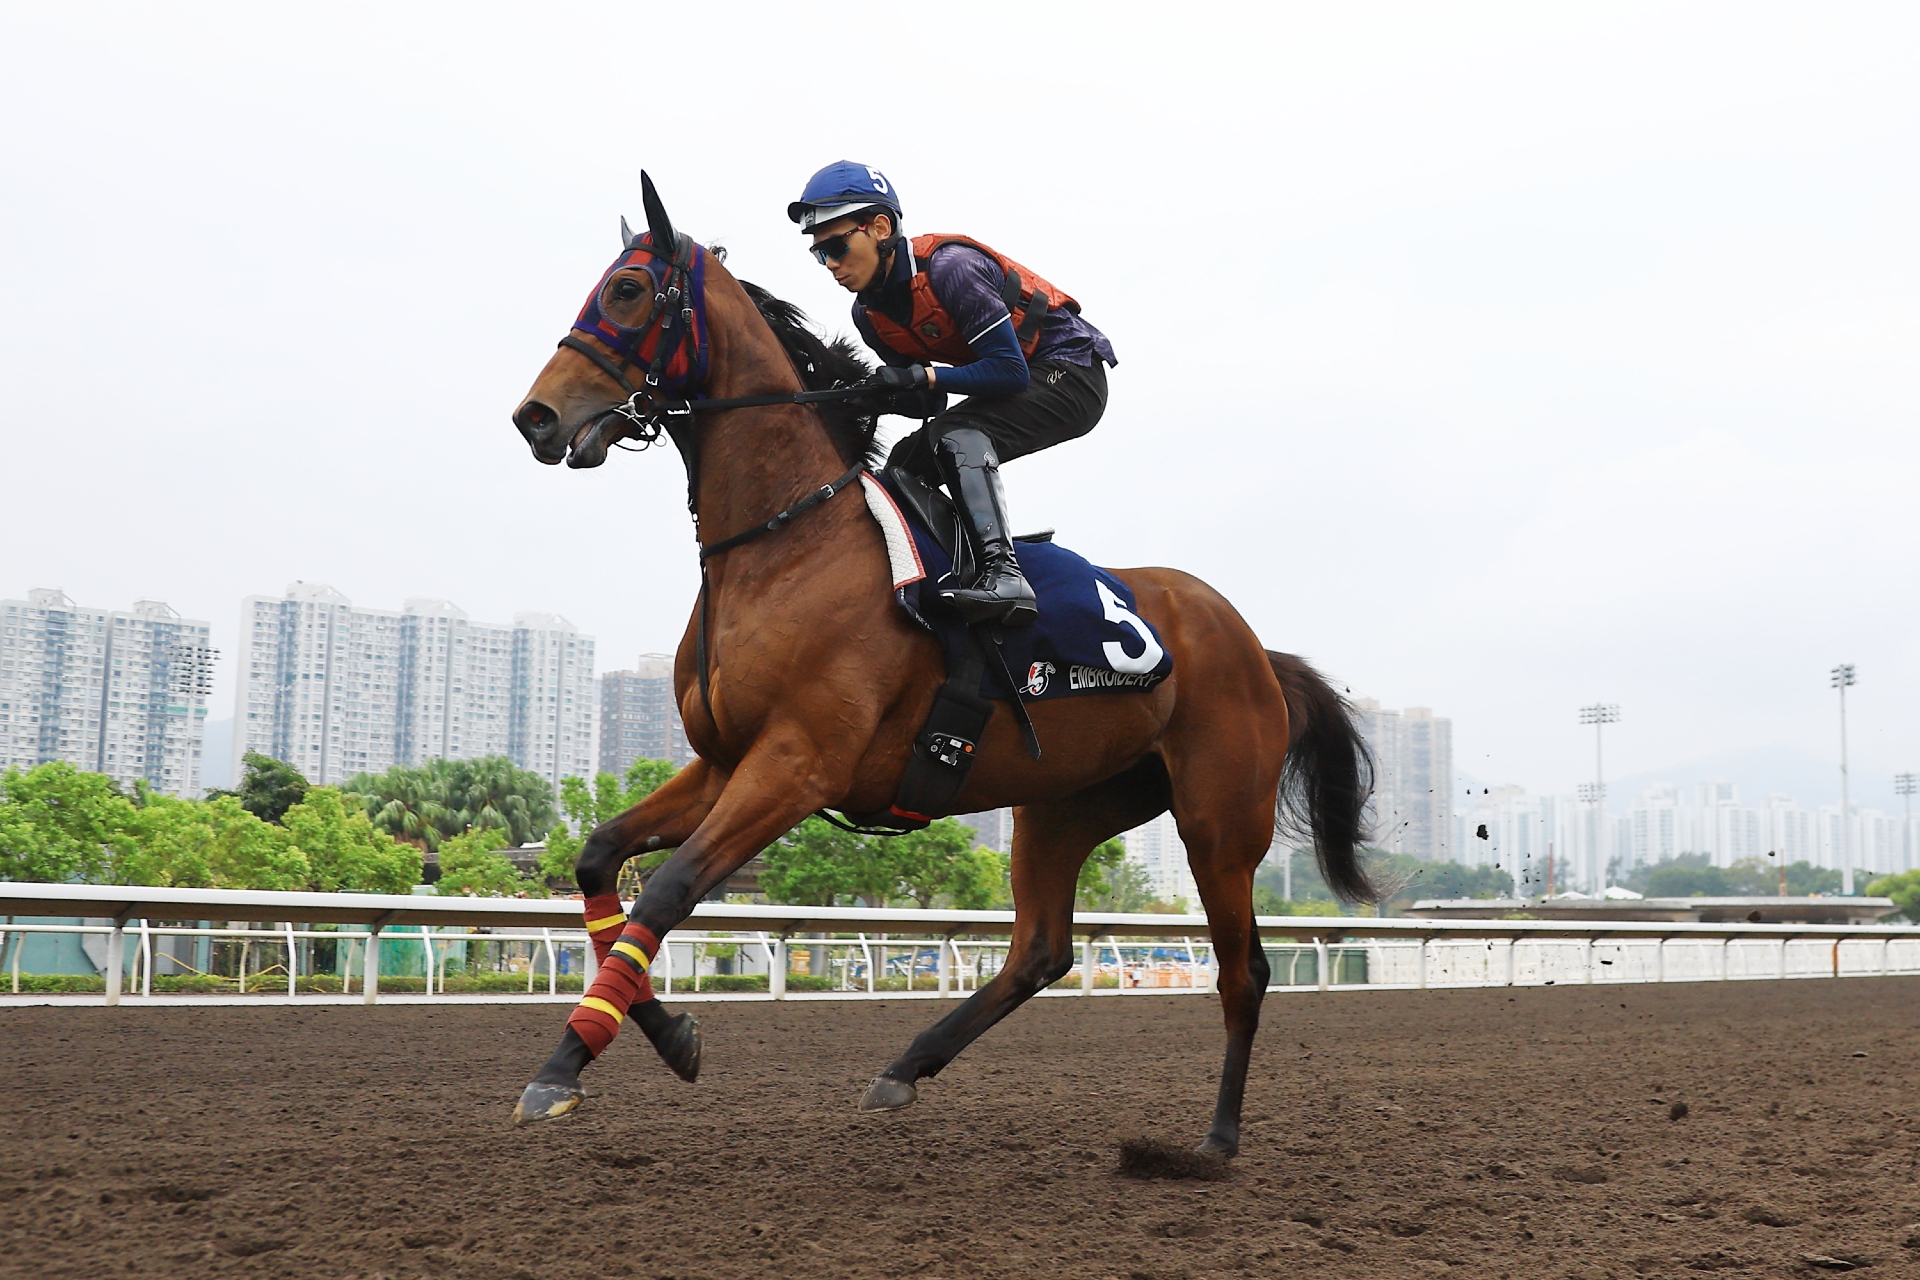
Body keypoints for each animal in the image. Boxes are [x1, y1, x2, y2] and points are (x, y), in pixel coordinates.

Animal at [507, 176, 1374, 1157]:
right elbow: (599, 861)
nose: (536, 417)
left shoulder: (797, 764)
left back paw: (1217, 1140)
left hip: (1219, 820)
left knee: (1243, 970)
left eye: (627, 291)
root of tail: (1254, 647)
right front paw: (657, 1035)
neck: (787, 541)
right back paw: (904, 1066)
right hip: (1065, 805)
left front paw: (564, 1065)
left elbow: (669, 890)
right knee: (1041, 950)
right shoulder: (726, 761)